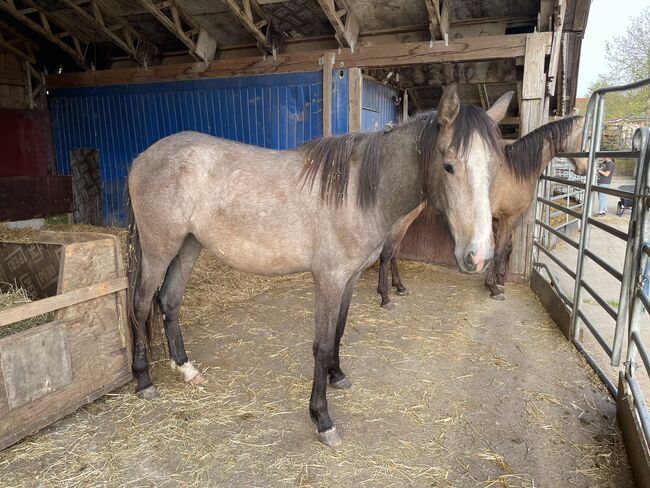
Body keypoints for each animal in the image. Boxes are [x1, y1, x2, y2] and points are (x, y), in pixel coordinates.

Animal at [128, 83, 502, 446]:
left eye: (494, 168)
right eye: (448, 164)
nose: (479, 255)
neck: (357, 191)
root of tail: (142, 158)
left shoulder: (349, 279)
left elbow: (338, 331)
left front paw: (338, 375)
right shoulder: (329, 279)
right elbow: (321, 346)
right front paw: (322, 419)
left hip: (188, 245)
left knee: (169, 301)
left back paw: (186, 370)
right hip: (159, 249)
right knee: (141, 305)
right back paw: (144, 381)